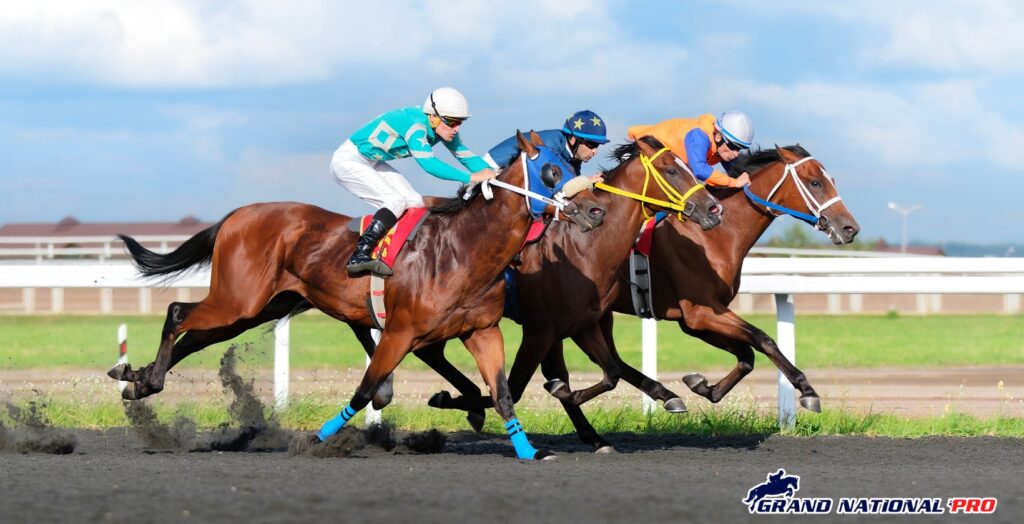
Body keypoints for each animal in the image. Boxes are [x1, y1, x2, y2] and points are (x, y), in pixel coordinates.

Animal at [110, 129, 606, 458]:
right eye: (551, 170)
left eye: (573, 167)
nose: (596, 211)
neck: (462, 250)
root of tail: (237, 215)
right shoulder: (400, 332)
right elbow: (366, 388)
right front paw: (317, 438)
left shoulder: (481, 331)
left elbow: (502, 392)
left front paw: (530, 451)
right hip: (238, 300)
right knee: (178, 312)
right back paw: (145, 378)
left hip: (257, 308)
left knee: (194, 336)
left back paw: (139, 380)